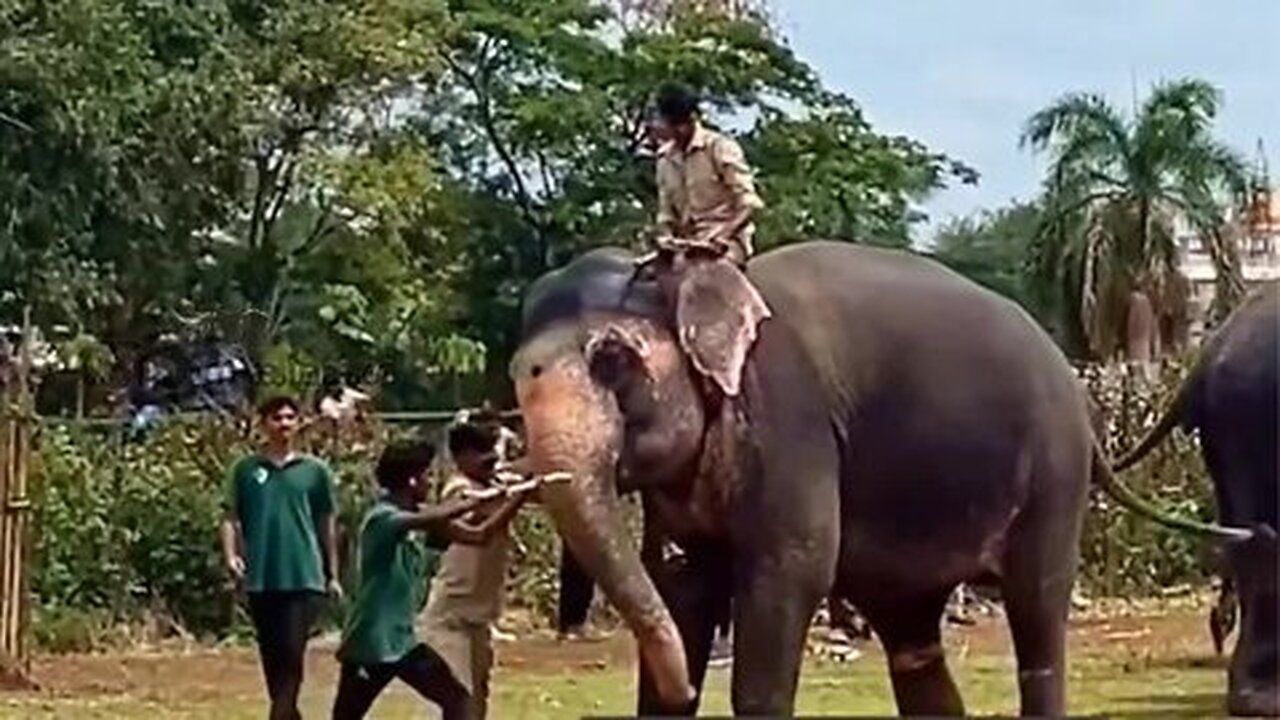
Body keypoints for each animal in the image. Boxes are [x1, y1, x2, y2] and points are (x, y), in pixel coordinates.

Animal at [506, 240, 1249, 712]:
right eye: (516, 374)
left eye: (612, 359)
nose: (688, 686)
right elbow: (681, 586)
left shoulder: (791, 423)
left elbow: (791, 571)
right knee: (913, 640)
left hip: (1054, 475)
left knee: (1038, 613)